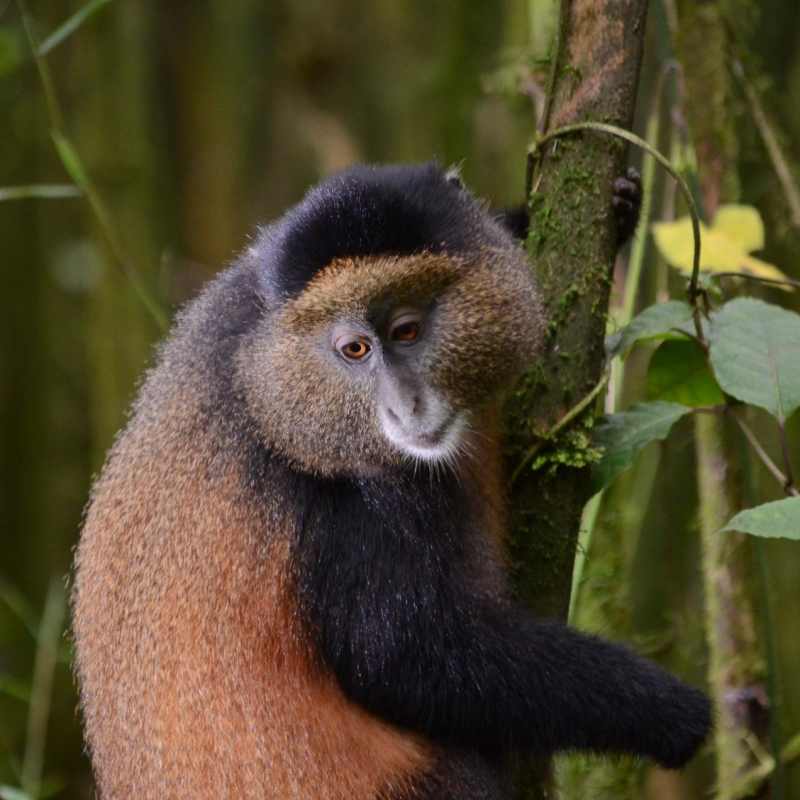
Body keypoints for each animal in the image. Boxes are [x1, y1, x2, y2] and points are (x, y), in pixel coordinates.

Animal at [72, 162, 710, 800]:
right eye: (355, 349)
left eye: (406, 331)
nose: (408, 404)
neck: (271, 386)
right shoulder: (346, 513)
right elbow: (409, 659)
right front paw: (665, 709)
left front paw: (609, 204)